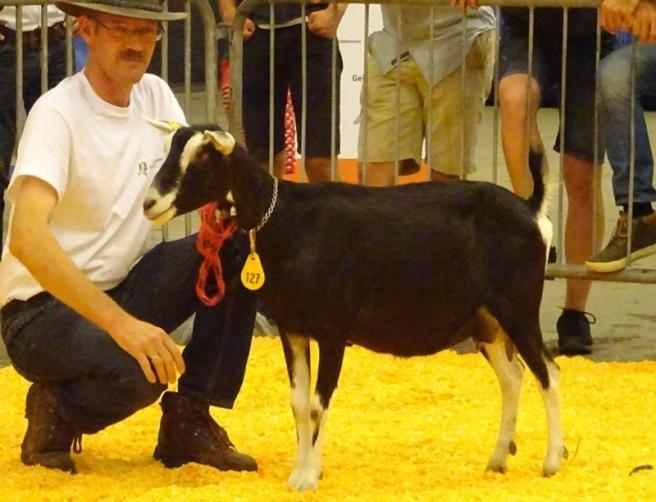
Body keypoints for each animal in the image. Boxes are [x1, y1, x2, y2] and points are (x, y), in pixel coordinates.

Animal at [142, 121, 564, 490]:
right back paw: (498, 459)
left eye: (202, 156)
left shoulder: (333, 331)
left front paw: (308, 479)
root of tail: (533, 209)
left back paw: (552, 462)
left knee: (549, 374)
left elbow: (317, 404)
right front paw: (298, 474)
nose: (150, 203)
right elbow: (299, 404)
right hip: (487, 322)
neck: (287, 219)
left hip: (519, 309)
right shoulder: (293, 329)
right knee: (513, 378)